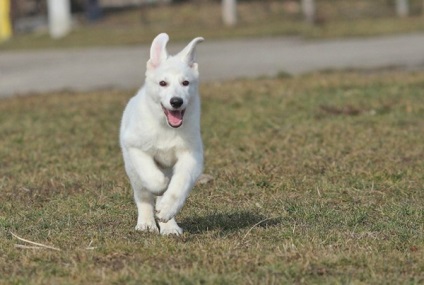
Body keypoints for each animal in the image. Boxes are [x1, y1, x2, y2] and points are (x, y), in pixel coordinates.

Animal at [120, 33, 205, 234]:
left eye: (185, 83)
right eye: (163, 83)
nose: (176, 101)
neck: (167, 128)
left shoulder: (191, 156)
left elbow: (179, 185)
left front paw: (167, 209)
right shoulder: (135, 148)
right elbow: (153, 178)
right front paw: (160, 187)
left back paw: (169, 226)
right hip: (132, 170)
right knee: (143, 196)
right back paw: (146, 223)